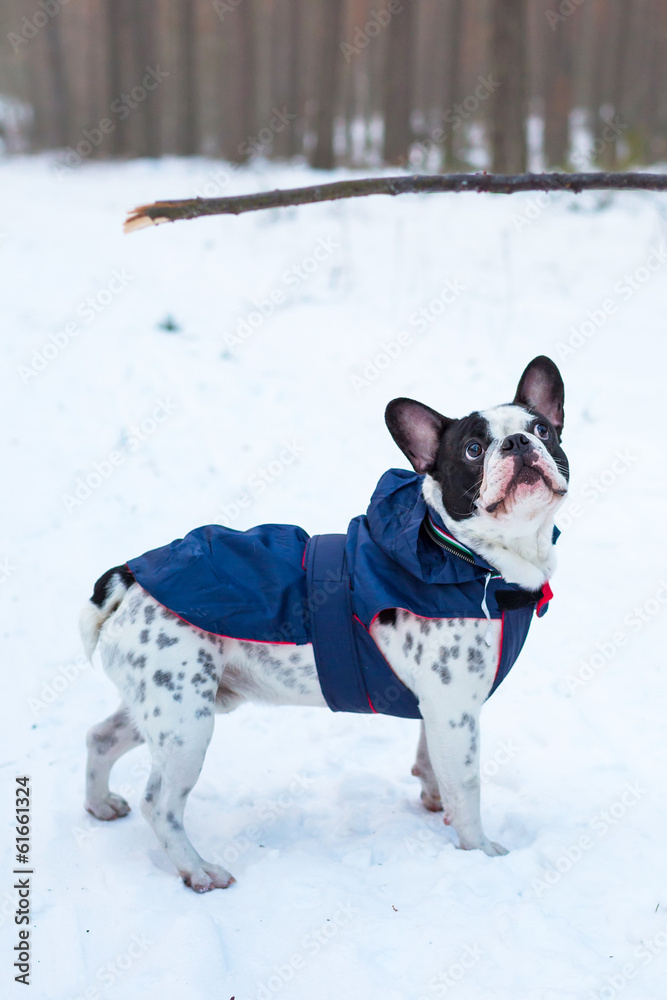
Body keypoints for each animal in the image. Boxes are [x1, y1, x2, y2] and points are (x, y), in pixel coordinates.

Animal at [79, 358, 568, 892]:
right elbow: (467, 784)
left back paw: (100, 805)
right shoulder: (455, 711)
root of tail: (129, 578)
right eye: (473, 449)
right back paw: (198, 870)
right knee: (160, 803)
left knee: (102, 737)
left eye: (542, 430)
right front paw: (478, 850)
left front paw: (434, 800)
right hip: (185, 721)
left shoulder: (437, 712)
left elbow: (431, 761)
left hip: (166, 704)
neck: (465, 558)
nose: (519, 442)